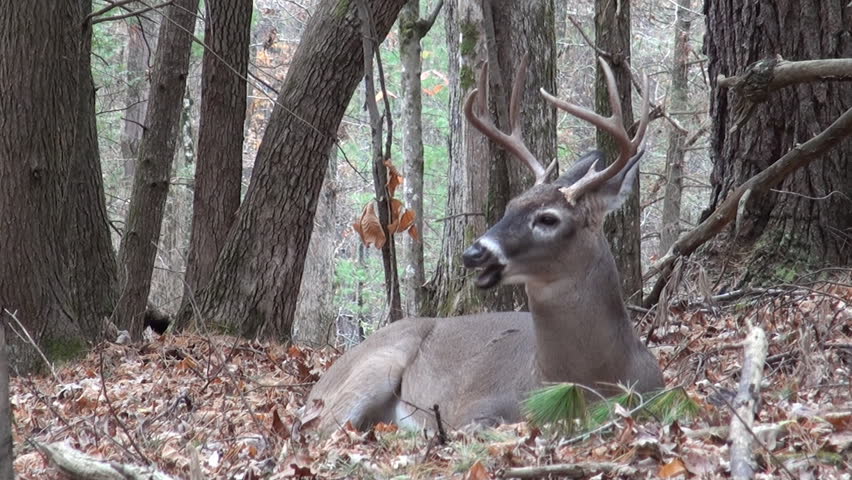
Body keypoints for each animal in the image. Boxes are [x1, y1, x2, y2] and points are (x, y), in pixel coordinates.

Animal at [299, 57, 663, 434]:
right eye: (510, 206)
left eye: (548, 219)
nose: (474, 253)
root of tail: (319, 384)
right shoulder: (473, 410)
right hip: (374, 365)